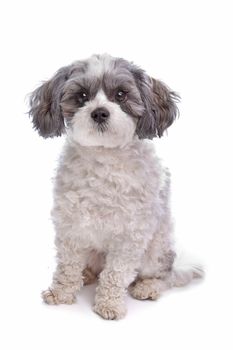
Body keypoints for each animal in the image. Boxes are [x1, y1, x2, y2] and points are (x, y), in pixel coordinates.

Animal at [29, 54, 203, 320]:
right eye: (82, 96)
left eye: (121, 95)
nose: (100, 113)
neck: (104, 156)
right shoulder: (71, 227)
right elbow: (68, 265)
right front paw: (62, 292)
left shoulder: (130, 236)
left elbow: (116, 273)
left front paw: (109, 304)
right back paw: (87, 275)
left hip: (155, 253)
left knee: (164, 276)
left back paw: (148, 286)